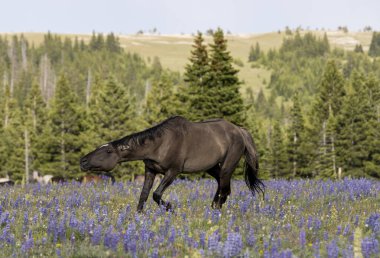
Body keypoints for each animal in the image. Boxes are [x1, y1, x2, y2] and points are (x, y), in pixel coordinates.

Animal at [80, 116, 264, 212]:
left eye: (108, 151)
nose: (83, 161)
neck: (160, 143)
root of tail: (239, 130)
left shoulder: (173, 172)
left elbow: (156, 194)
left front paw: (169, 207)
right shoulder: (150, 171)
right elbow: (144, 195)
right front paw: (138, 216)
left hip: (227, 166)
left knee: (225, 188)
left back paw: (216, 211)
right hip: (212, 167)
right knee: (222, 186)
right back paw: (212, 207)